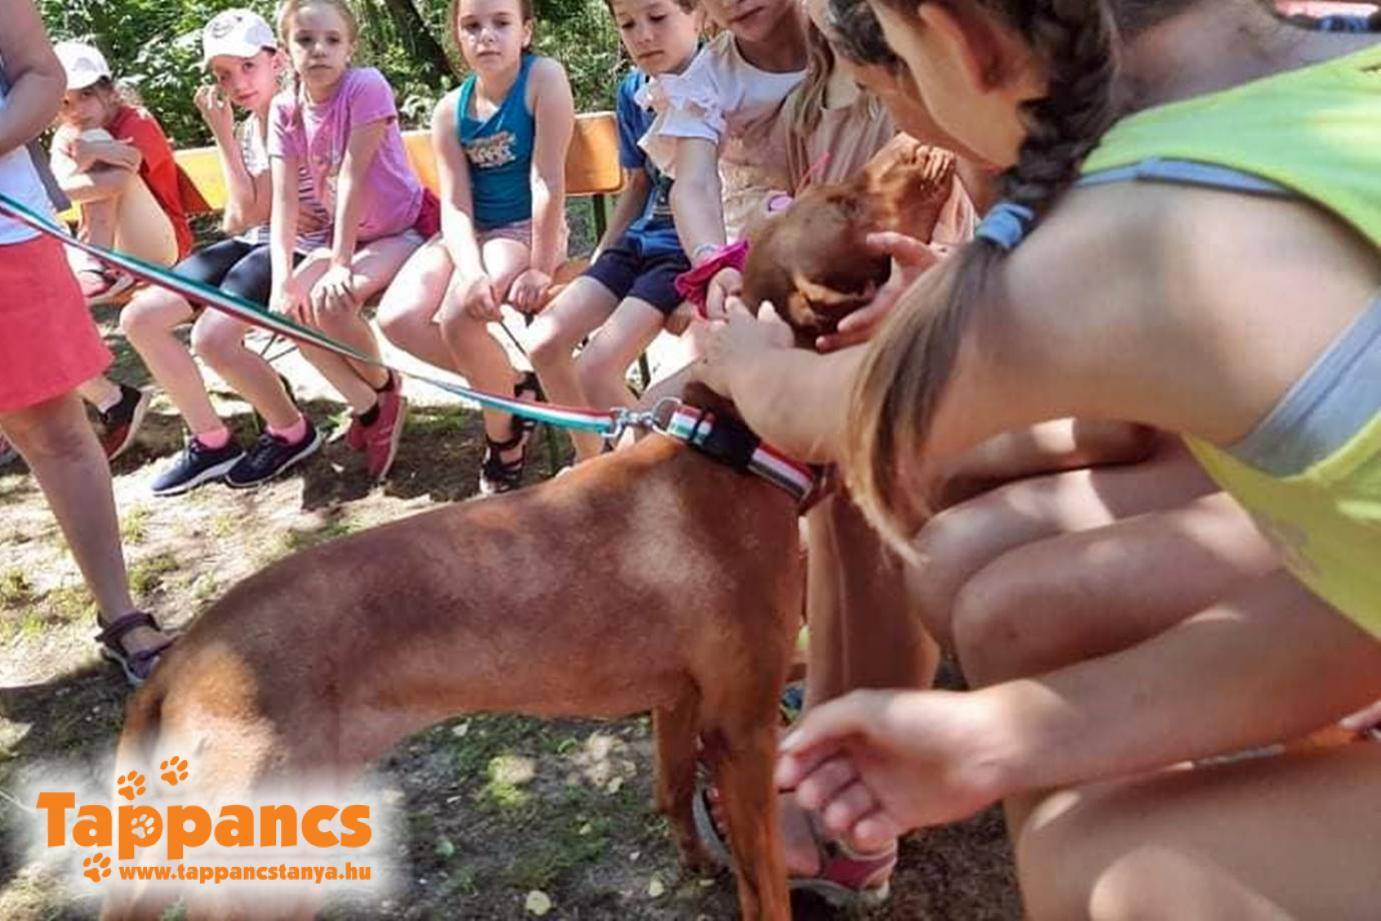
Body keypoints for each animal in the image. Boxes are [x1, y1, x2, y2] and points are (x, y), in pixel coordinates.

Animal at [102, 140, 963, 921]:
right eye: (844, 204)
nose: (913, 141)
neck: (726, 444)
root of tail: (181, 663)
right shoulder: (743, 728)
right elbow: (769, 888)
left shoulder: (679, 702)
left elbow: (670, 789)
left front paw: (695, 861)